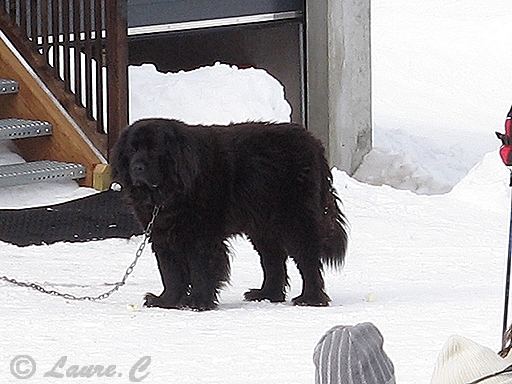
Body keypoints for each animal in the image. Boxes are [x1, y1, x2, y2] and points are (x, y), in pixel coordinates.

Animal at [112, 118, 348, 310]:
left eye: (155, 150)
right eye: (132, 150)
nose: (137, 167)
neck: (169, 190)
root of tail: (313, 142)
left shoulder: (201, 237)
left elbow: (200, 269)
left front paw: (198, 301)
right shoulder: (162, 235)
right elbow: (170, 272)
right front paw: (166, 301)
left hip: (295, 219)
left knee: (307, 259)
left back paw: (310, 299)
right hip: (263, 225)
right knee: (273, 259)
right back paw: (267, 294)